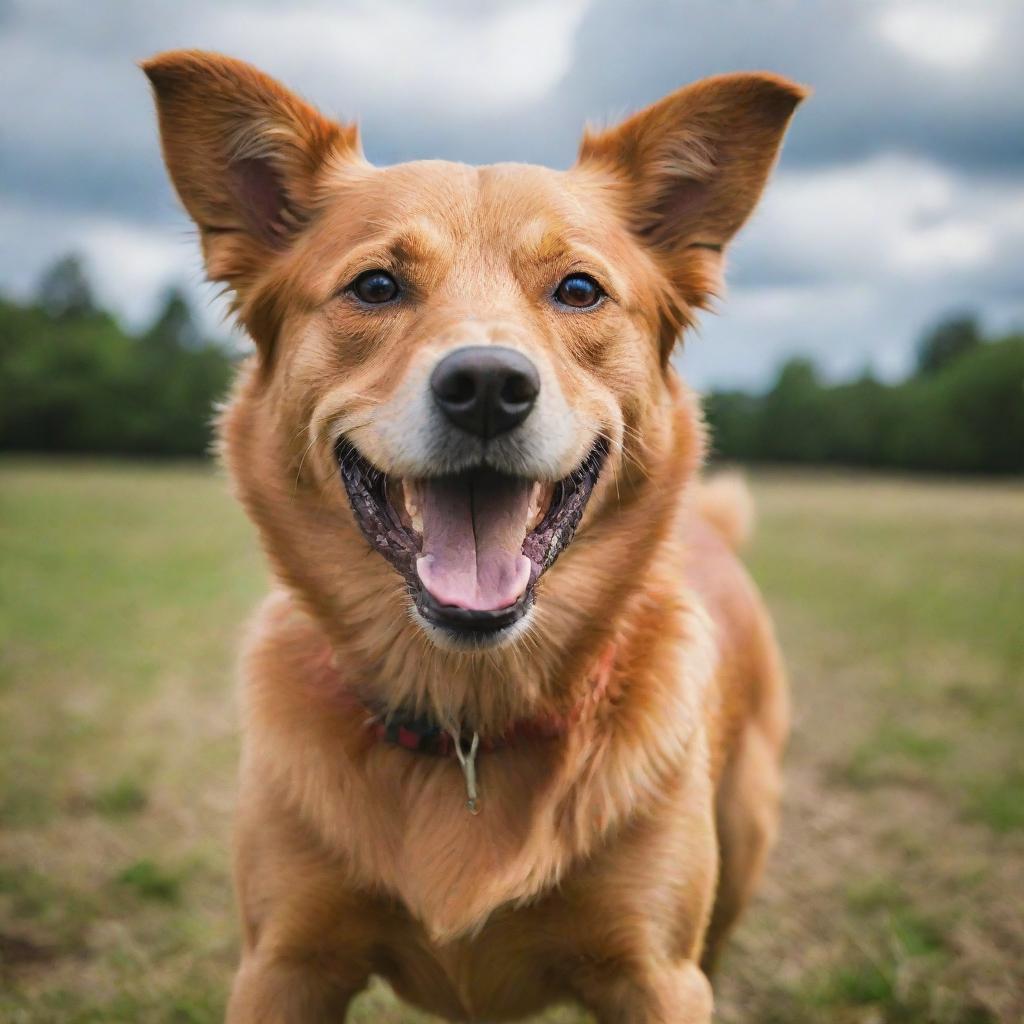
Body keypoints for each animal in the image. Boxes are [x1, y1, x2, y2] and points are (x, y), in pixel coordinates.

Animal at [142, 49, 806, 1024]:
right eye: (376, 285)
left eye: (579, 290)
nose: (488, 385)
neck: (465, 719)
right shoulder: (283, 963)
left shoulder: (660, 976)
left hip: (742, 848)